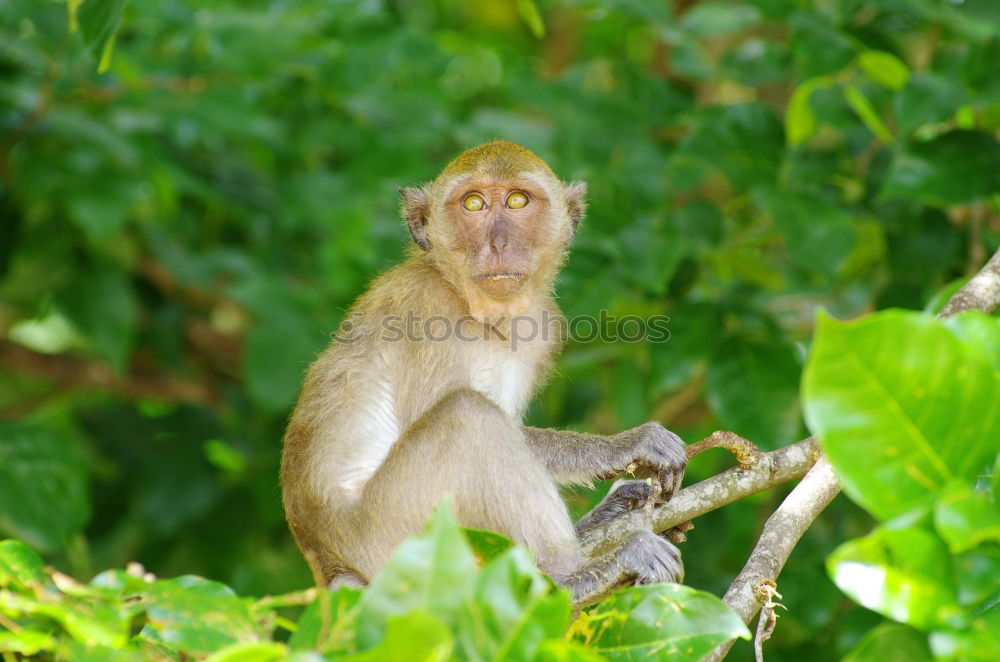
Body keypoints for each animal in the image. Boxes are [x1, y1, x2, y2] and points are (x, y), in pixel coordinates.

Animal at [282, 143, 688, 608]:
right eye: (473, 204)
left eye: (517, 201)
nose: (498, 244)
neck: (475, 308)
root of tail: (333, 569)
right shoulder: (426, 309)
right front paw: (626, 445)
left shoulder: (544, 324)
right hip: (395, 534)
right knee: (467, 415)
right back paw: (572, 576)